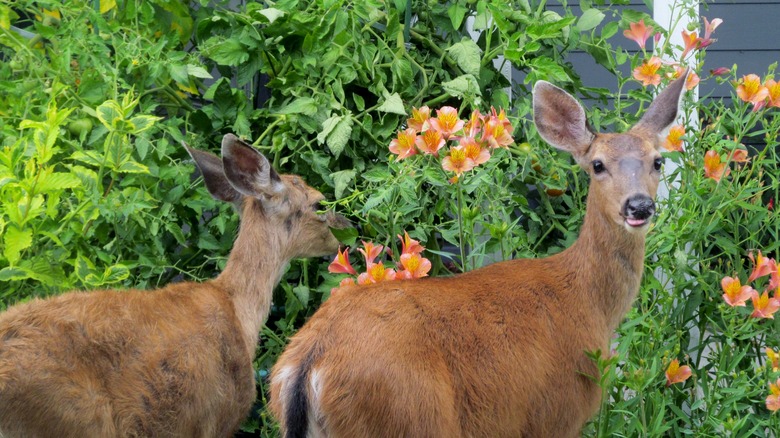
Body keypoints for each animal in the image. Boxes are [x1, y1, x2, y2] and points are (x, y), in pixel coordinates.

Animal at [270, 72, 688, 438]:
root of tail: (309, 364)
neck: (590, 301)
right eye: (598, 164)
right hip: (412, 418)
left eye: (657, 161)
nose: (639, 206)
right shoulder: (557, 413)